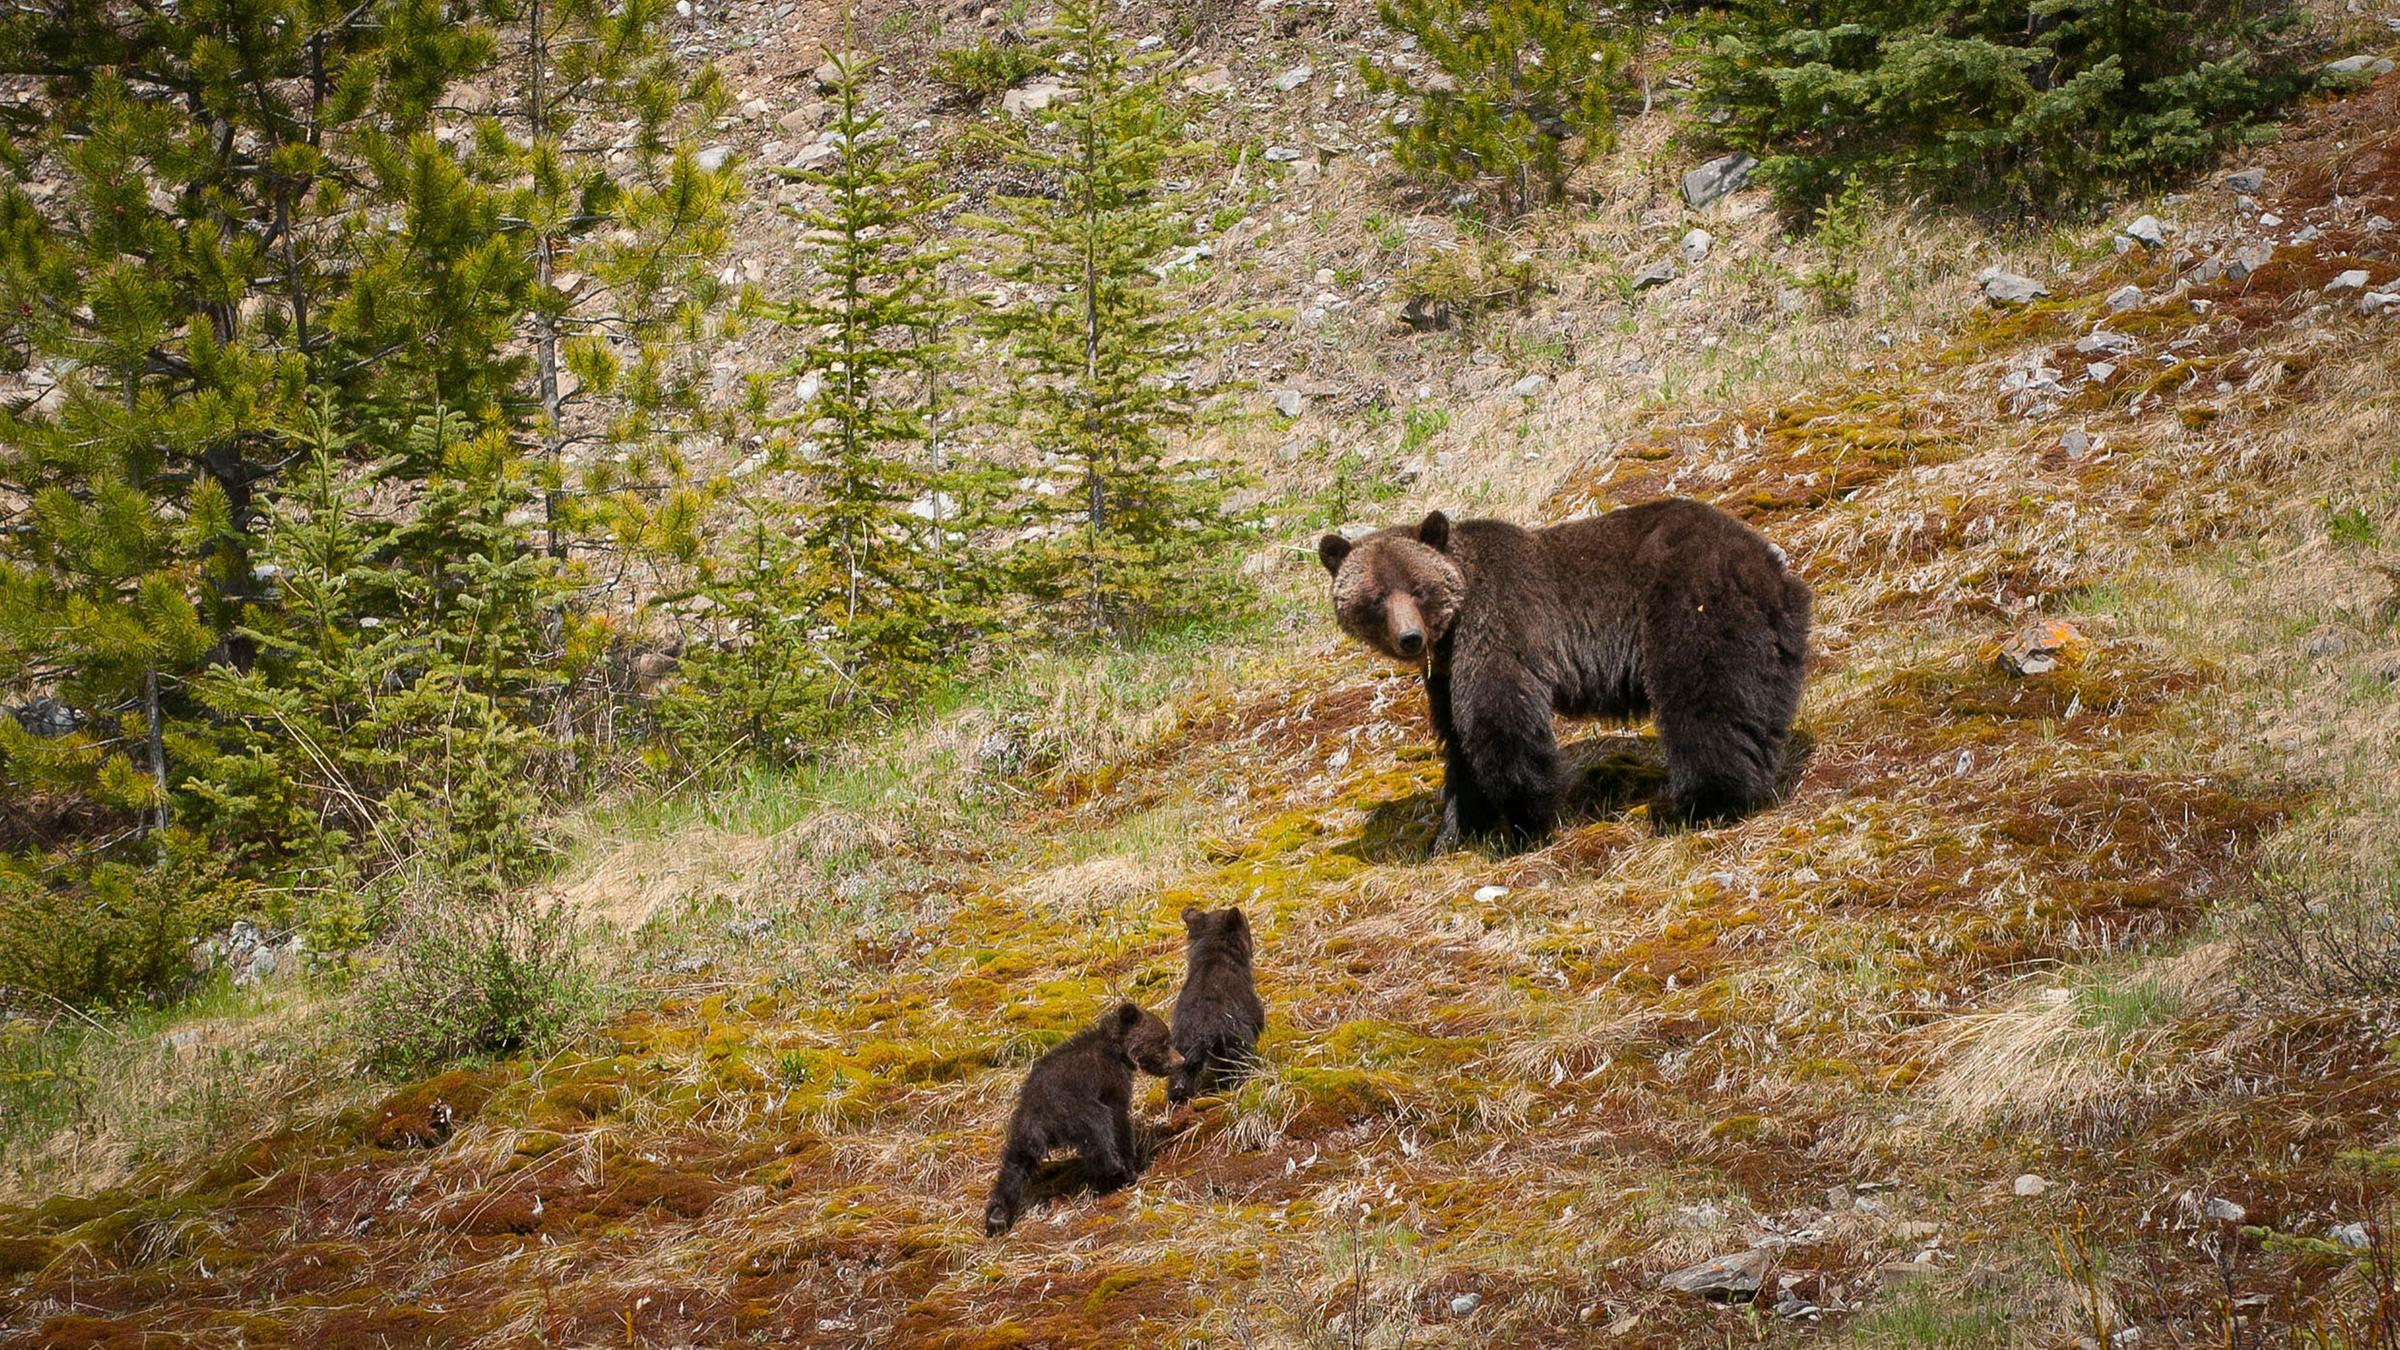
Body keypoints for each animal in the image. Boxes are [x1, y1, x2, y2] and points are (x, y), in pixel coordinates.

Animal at [984, 999, 1180, 1229]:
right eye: (1165, 1041)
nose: (1181, 1060)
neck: (1118, 1050)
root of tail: (1042, 1119)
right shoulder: (1111, 1079)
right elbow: (1119, 1116)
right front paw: (1132, 1162)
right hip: (1077, 1111)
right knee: (1100, 1132)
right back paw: (1118, 1172)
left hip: (1022, 1127)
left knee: (1013, 1165)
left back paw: (998, 1215)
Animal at [1166, 903, 1267, 1104]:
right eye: (1247, 927)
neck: (1213, 955)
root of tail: (1202, 1036)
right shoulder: (1248, 1001)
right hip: (1232, 1042)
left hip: (1180, 1052)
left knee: (1179, 1078)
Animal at [1324, 499, 1804, 845]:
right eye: (1376, 598)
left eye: (1419, 589)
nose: (1409, 638)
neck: (1451, 630)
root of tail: (1760, 558)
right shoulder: (1443, 673)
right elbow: (1458, 740)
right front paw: (1453, 831)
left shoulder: (1500, 619)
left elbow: (1498, 716)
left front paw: (1526, 821)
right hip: (1774, 635)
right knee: (1755, 703)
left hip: (1688, 602)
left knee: (1704, 702)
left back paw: (1707, 803)